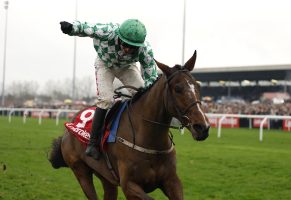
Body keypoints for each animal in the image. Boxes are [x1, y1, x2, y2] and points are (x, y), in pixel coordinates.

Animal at [49, 50, 211, 200]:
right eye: (177, 88)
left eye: (198, 86)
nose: (202, 127)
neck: (150, 140)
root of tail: (68, 127)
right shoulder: (129, 186)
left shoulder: (172, 181)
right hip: (81, 172)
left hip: (105, 177)